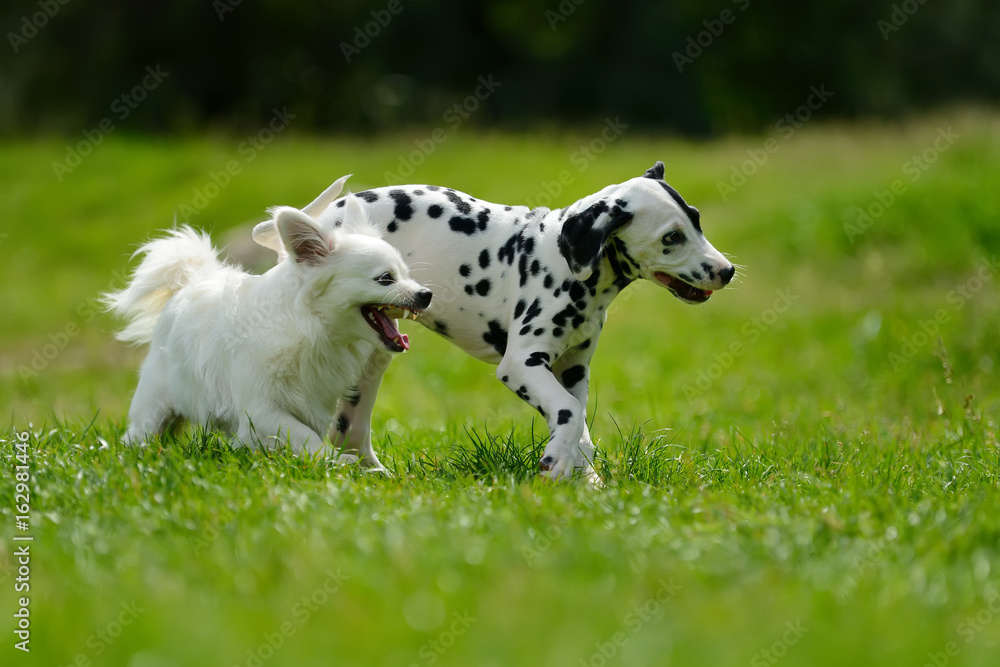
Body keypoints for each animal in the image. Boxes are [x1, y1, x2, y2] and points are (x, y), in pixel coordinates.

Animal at [106, 194, 434, 454]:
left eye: (407, 274)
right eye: (385, 279)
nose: (426, 294)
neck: (314, 331)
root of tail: (191, 280)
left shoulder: (313, 403)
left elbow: (309, 434)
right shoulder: (261, 409)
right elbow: (306, 437)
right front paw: (338, 462)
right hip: (156, 404)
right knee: (142, 432)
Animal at [250, 164, 736, 482]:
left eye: (696, 220)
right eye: (671, 238)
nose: (726, 271)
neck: (565, 261)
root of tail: (327, 214)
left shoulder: (573, 369)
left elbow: (576, 420)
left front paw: (582, 477)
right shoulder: (522, 364)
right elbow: (567, 412)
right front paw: (561, 464)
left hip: (372, 360)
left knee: (349, 428)